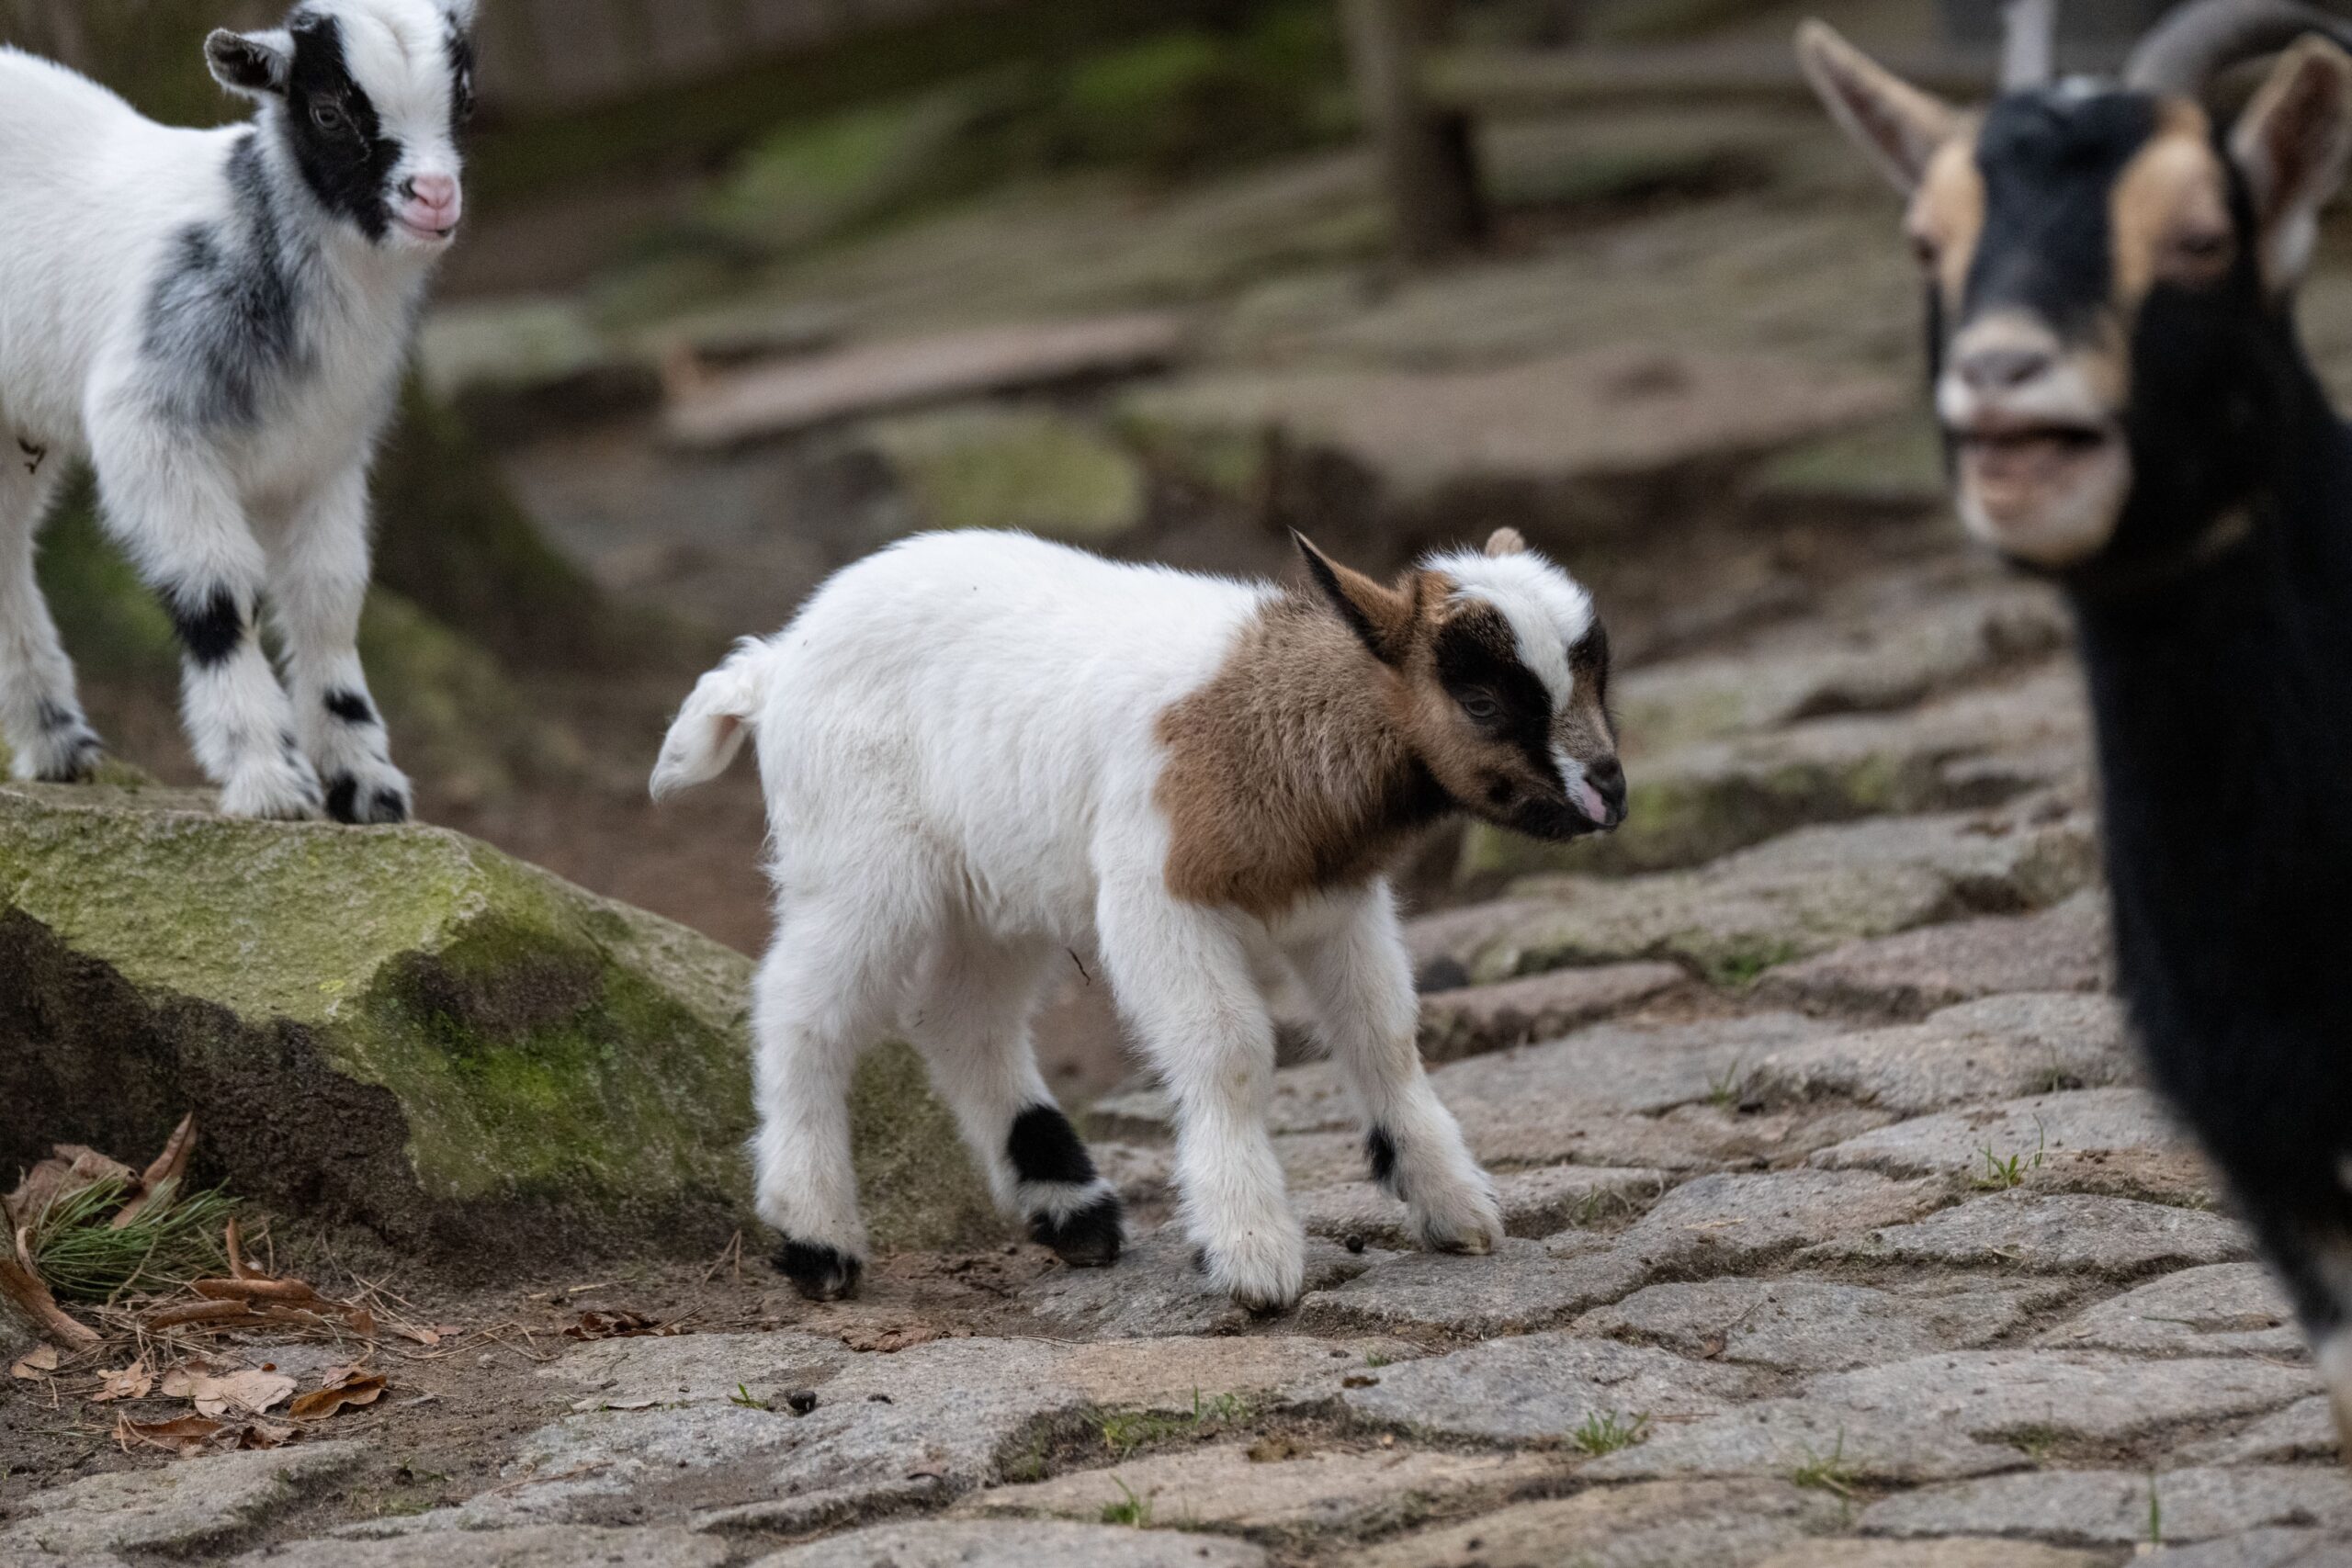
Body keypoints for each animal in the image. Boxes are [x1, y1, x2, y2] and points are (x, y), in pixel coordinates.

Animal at [0, 3, 477, 822]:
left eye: (465, 102)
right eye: (327, 112)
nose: (435, 196)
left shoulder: (322, 455)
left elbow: (329, 601)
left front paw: (365, 783)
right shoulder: (151, 431)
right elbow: (219, 596)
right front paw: (269, 779)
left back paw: (55, 742)